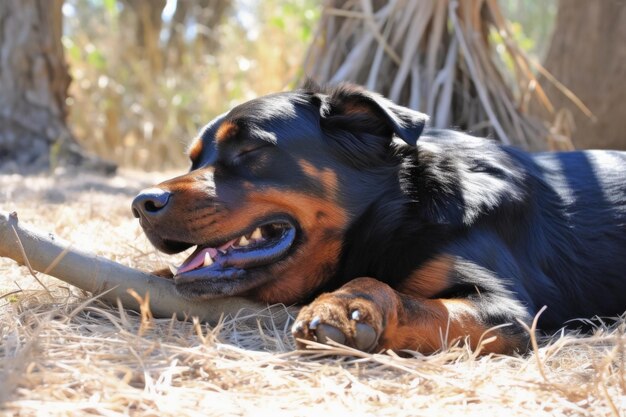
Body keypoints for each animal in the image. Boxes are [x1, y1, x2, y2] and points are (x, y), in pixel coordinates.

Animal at [132, 83, 624, 354]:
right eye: (193, 160)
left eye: (250, 148)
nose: (141, 203)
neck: (400, 210)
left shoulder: (512, 314)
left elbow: (392, 291)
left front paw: (346, 303)